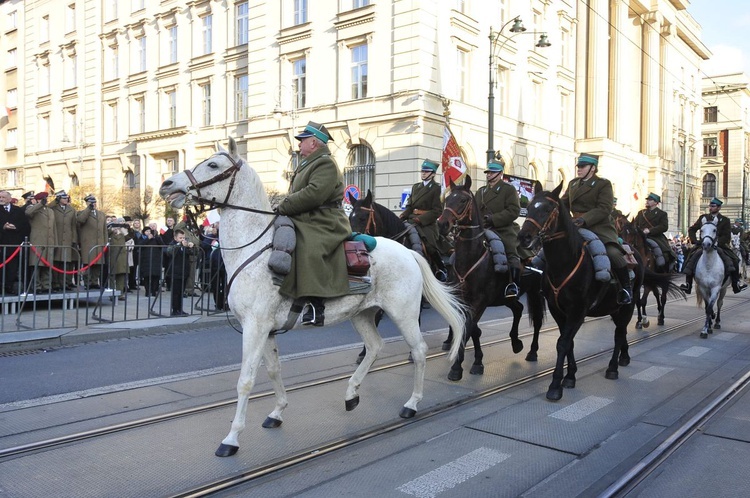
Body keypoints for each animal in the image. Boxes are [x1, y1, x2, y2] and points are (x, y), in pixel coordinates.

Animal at [159, 138, 468, 458]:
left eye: (212, 165)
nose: (167, 185)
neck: (253, 249)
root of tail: (408, 251)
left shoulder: (255, 327)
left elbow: (246, 380)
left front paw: (231, 438)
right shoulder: (266, 329)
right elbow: (273, 370)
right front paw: (277, 412)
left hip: (403, 313)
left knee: (418, 350)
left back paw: (411, 404)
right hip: (362, 314)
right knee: (374, 346)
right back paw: (351, 394)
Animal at [434, 178, 548, 382]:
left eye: (463, 200)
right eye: (447, 199)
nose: (442, 224)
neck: (471, 257)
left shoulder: (480, 301)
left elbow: (469, 328)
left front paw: (457, 367)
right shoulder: (463, 299)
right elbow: (473, 329)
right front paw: (476, 361)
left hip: (535, 292)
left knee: (536, 320)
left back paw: (532, 351)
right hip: (505, 296)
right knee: (518, 309)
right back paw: (516, 342)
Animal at [520, 183, 684, 400]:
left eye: (547, 209)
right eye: (529, 207)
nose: (524, 238)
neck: (565, 263)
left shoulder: (577, 311)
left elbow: (563, 343)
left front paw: (555, 385)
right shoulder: (558, 311)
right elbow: (568, 342)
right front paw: (570, 376)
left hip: (628, 302)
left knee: (621, 330)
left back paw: (613, 367)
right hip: (614, 307)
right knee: (622, 329)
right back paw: (625, 355)